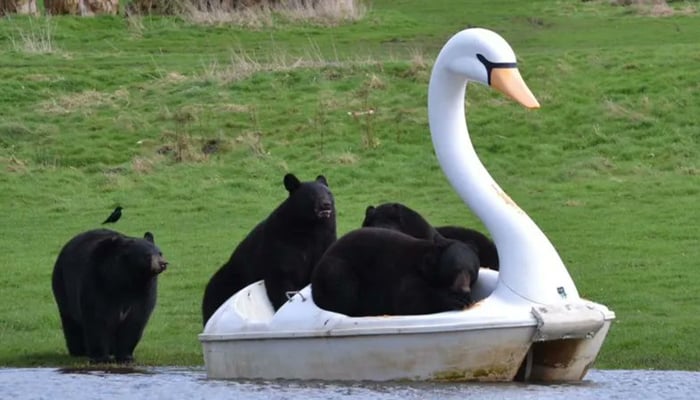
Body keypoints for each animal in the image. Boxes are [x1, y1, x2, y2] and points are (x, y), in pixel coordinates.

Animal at [50, 228, 168, 362]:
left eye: (160, 253)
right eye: (147, 255)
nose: (163, 263)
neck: (127, 279)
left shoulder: (144, 290)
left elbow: (135, 320)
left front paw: (125, 357)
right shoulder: (98, 281)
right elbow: (98, 319)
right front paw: (101, 358)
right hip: (62, 285)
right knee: (70, 320)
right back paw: (78, 350)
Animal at [201, 173, 338, 324]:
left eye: (329, 193)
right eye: (311, 195)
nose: (326, 204)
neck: (311, 228)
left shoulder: (325, 241)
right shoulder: (281, 246)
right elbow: (281, 279)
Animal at [314, 228, 482, 316]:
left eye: (471, 272)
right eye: (455, 270)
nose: (463, 289)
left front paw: (466, 298)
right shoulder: (407, 273)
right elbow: (410, 302)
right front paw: (454, 300)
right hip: (335, 269)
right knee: (343, 289)